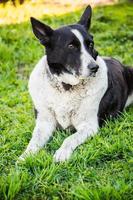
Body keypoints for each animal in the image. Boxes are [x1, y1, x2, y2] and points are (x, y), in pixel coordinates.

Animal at [18, 5, 133, 162]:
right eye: (71, 46)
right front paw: (25, 156)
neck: (66, 87)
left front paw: (62, 153)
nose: (94, 67)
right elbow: (34, 141)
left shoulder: (89, 126)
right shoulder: (44, 123)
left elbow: (69, 139)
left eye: (90, 44)